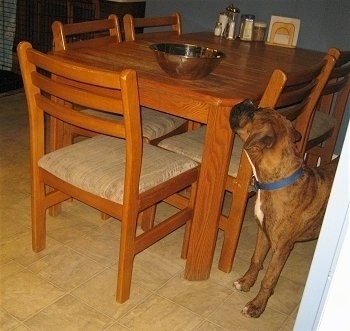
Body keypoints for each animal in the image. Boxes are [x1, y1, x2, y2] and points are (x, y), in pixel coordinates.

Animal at [230, 99, 340, 320]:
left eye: (254, 112)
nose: (246, 101)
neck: (277, 182)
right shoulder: (263, 233)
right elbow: (256, 260)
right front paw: (245, 282)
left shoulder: (282, 248)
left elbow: (269, 279)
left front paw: (257, 306)